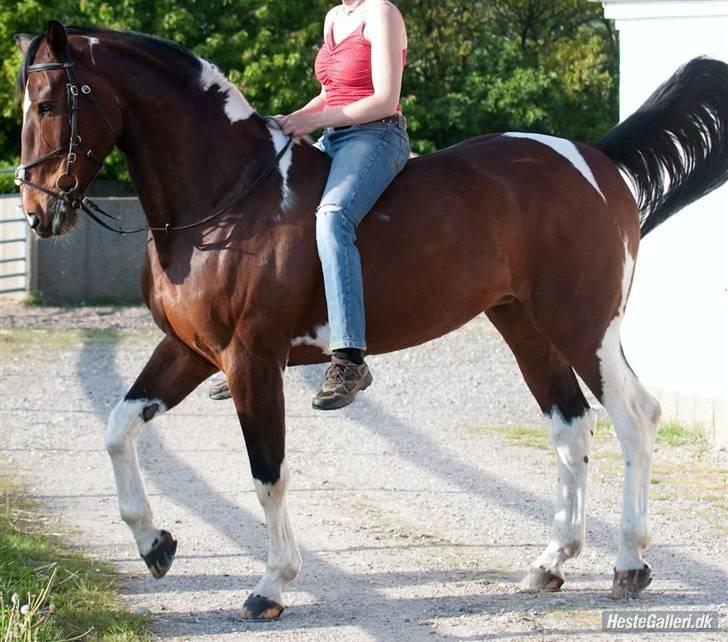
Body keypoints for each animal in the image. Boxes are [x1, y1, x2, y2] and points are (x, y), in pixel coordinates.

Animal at [15, 21, 728, 620]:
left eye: (48, 105)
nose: (38, 212)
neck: (225, 197)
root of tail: (592, 160)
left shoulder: (252, 360)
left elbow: (267, 473)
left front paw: (271, 584)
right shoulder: (187, 350)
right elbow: (117, 430)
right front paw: (154, 544)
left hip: (583, 326)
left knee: (636, 419)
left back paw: (629, 563)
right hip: (526, 328)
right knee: (571, 427)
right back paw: (550, 564)